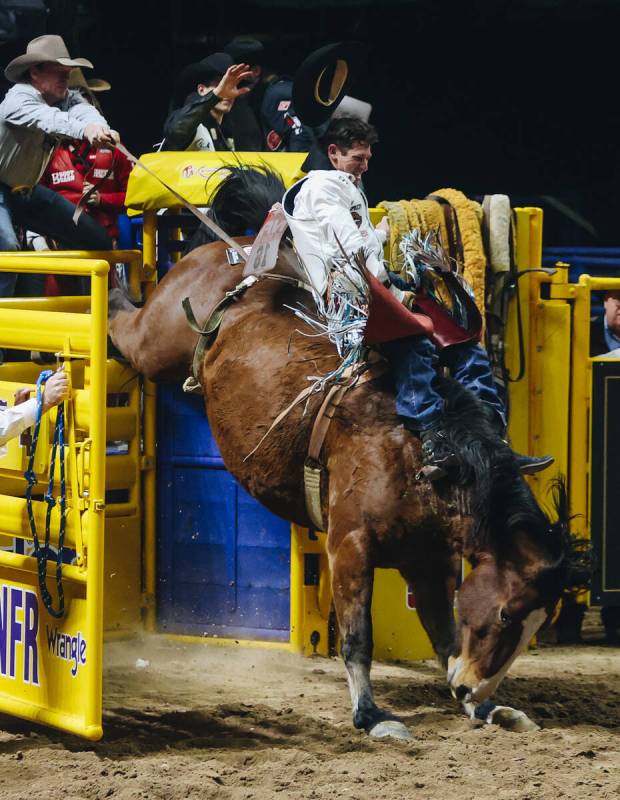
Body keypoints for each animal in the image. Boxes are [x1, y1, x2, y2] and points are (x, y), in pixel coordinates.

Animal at [108, 167, 576, 736]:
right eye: (508, 612)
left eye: (534, 622)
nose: (470, 686)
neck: (422, 457)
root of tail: (239, 256)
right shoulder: (349, 546)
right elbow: (358, 638)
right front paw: (372, 716)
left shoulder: (431, 561)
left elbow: (445, 637)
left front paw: (484, 708)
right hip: (155, 340)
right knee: (124, 325)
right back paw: (112, 281)